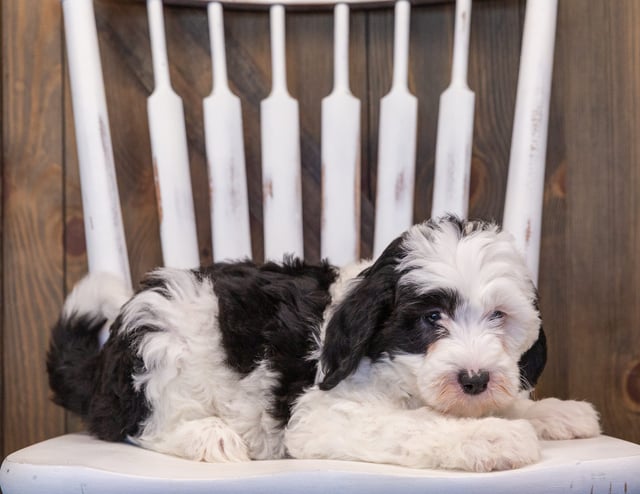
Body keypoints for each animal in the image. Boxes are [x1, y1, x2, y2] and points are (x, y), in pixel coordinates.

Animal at [46, 216, 600, 470]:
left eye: (499, 317)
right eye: (430, 318)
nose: (475, 380)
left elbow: (504, 403)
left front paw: (553, 412)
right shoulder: (326, 414)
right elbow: (416, 425)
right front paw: (492, 438)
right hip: (162, 348)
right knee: (137, 425)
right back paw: (209, 436)